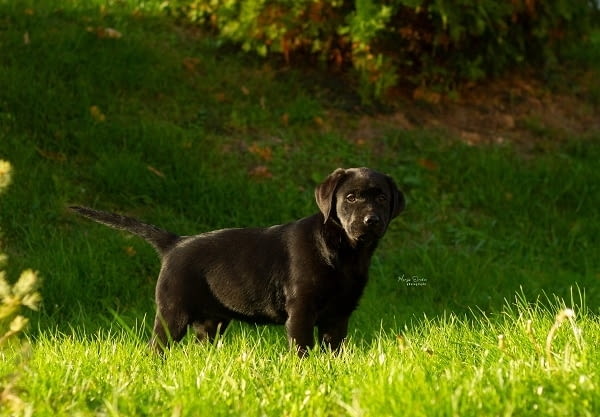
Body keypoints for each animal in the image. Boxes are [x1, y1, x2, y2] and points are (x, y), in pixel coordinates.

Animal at [72, 166, 406, 354]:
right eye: (350, 198)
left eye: (382, 197)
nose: (371, 220)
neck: (346, 251)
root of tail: (175, 243)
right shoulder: (301, 311)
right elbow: (302, 349)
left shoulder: (339, 315)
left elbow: (334, 351)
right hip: (172, 313)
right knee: (157, 347)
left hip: (211, 322)